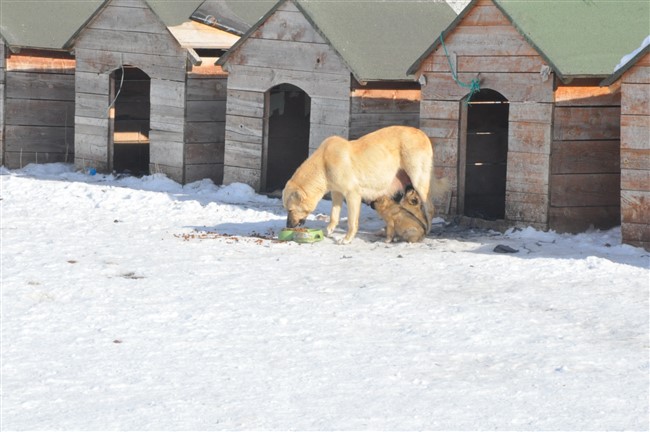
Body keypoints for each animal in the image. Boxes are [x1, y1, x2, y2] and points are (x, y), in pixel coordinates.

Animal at [280, 126, 436, 245]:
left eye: (290, 209)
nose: (288, 226)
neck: (323, 165)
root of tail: (422, 133)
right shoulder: (336, 192)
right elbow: (334, 215)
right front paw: (329, 230)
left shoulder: (352, 194)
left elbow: (351, 221)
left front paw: (347, 239)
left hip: (418, 180)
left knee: (428, 208)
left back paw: (427, 231)